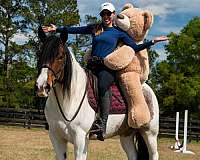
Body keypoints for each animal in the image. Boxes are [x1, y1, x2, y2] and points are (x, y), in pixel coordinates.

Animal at [35, 28, 159, 159]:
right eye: (39, 54)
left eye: (60, 56)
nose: (42, 86)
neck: (69, 99)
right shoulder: (56, 137)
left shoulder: (80, 139)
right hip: (126, 134)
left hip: (149, 134)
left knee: (154, 154)